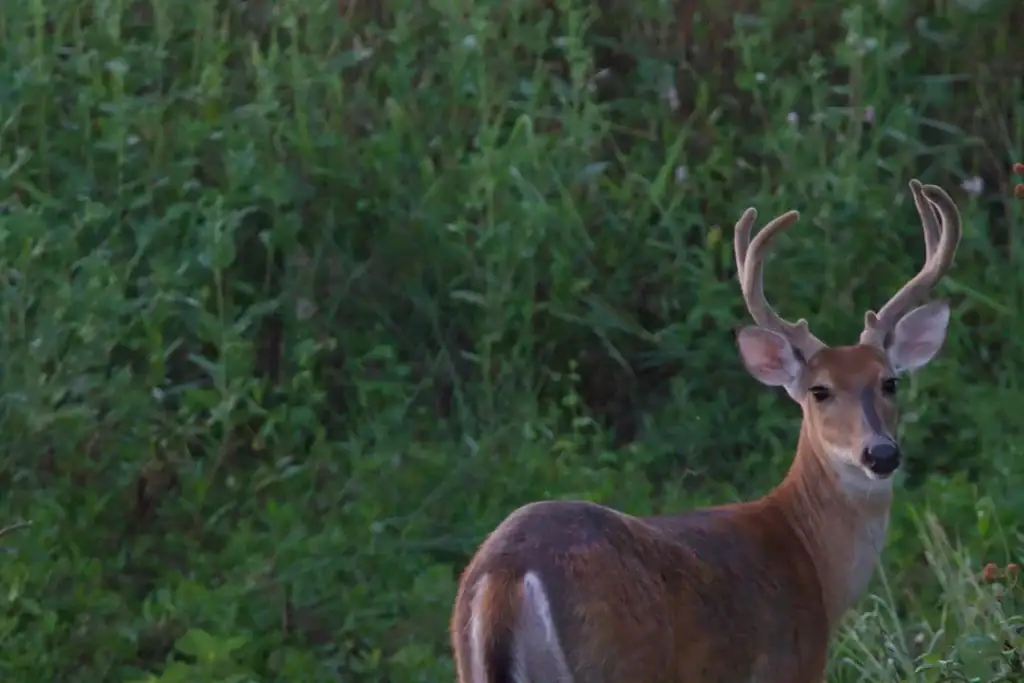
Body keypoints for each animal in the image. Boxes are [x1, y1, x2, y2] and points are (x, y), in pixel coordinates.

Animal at [449, 179, 962, 683]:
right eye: (820, 390)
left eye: (889, 382)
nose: (881, 453)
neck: (809, 555)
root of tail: (506, 576)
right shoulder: (790, 666)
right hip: (612, 664)